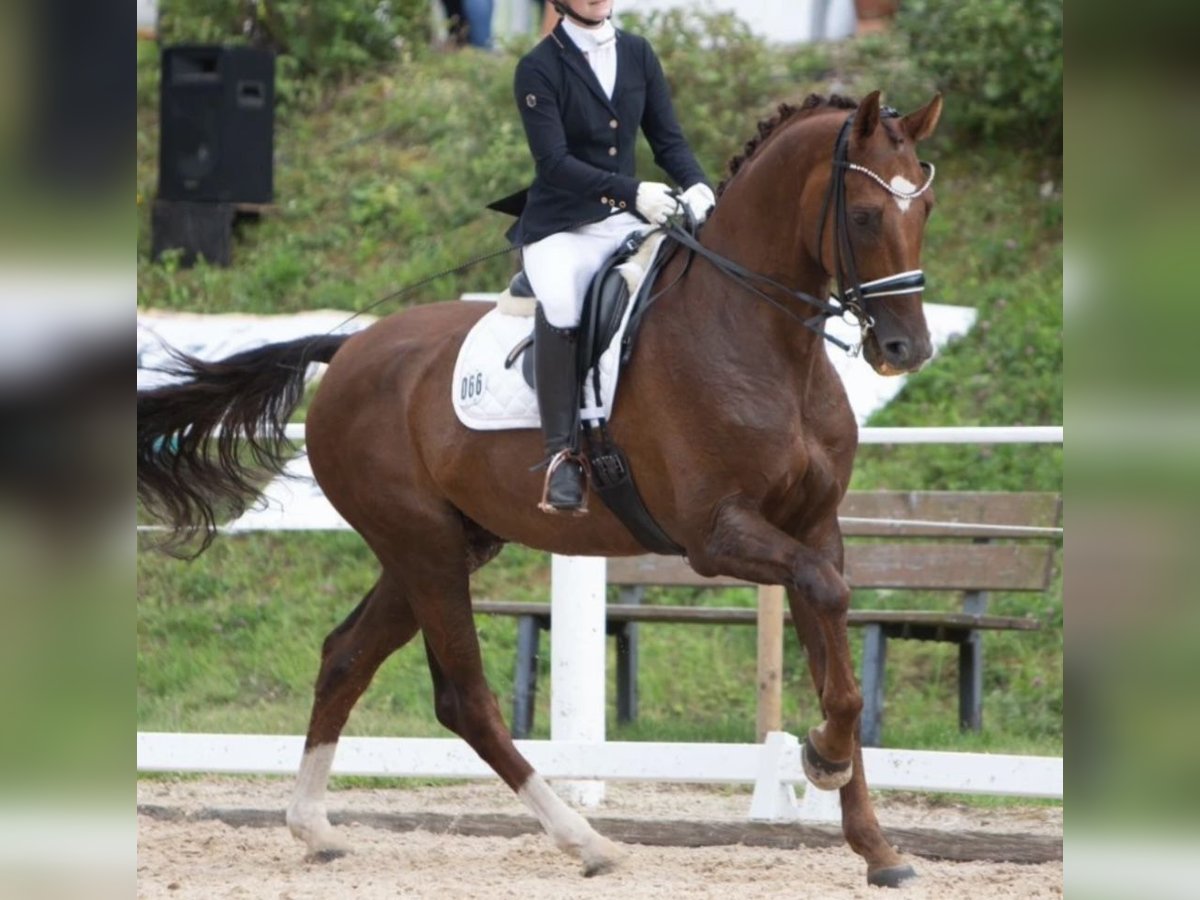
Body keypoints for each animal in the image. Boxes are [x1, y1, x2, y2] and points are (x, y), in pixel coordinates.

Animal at [140, 88, 940, 892]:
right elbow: (828, 612)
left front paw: (875, 844)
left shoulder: (814, 530)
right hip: (423, 545)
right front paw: (824, 757)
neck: (765, 343)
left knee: (346, 657)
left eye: (925, 211)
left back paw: (314, 828)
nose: (906, 349)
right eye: (864, 215)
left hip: (442, 546)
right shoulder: (717, 535)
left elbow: (836, 657)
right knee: (464, 698)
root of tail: (347, 350)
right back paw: (587, 842)